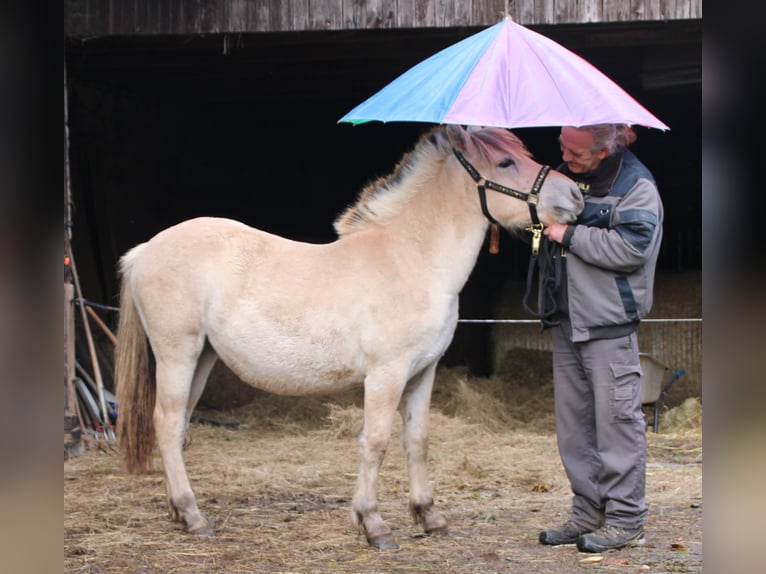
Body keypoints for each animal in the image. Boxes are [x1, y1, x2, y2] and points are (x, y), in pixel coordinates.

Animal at [112, 124, 584, 552]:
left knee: (179, 426)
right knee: (167, 422)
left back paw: (179, 513)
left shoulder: (424, 372)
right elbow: (374, 442)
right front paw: (373, 525)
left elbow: (417, 441)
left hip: (204, 357)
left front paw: (428, 516)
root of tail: (144, 250)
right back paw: (194, 518)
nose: (576, 197)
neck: (411, 260)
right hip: (178, 353)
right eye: (505, 162)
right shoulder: (386, 375)